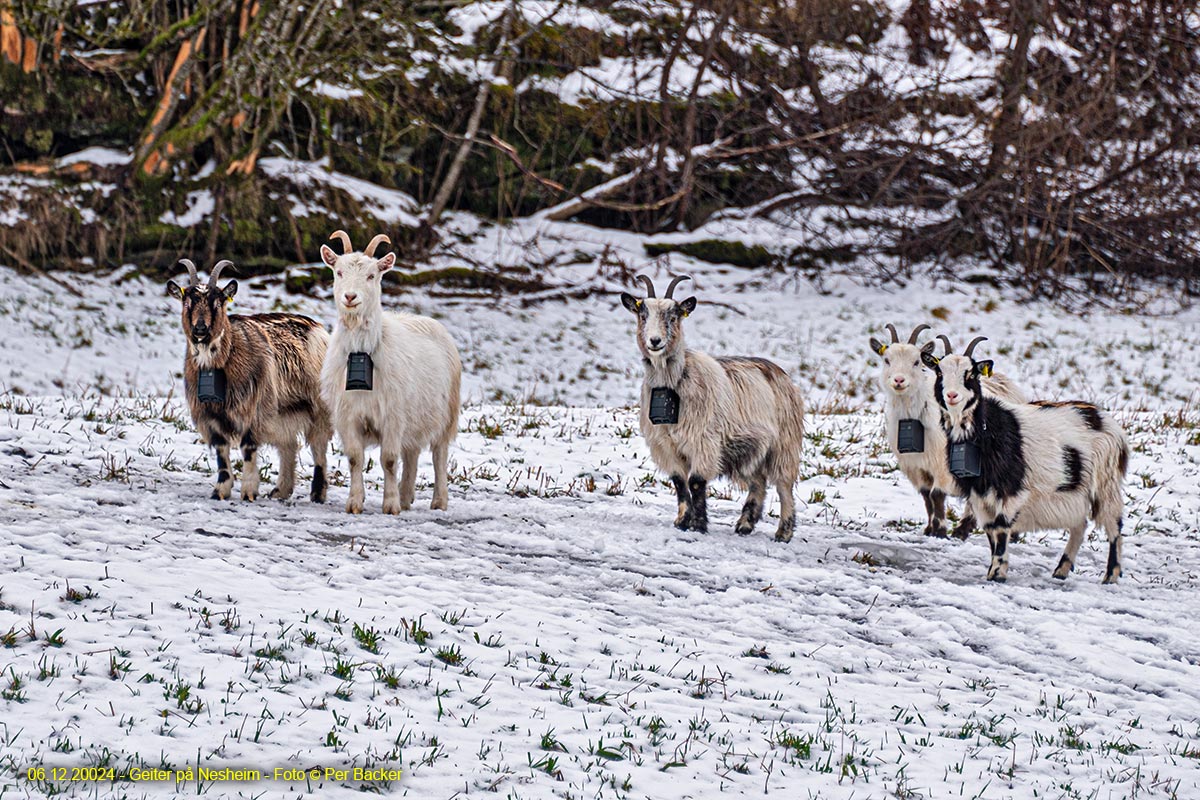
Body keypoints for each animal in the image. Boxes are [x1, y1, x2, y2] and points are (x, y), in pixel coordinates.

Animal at [166, 260, 331, 503]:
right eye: (187, 302)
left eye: (218, 302)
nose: (200, 329)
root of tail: (318, 327)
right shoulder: (209, 415)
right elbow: (221, 451)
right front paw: (221, 490)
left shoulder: (254, 409)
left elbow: (248, 447)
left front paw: (249, 491)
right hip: (285, 409)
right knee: (289, 444)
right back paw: (281, 490)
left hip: (318, 406)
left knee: (319, 445)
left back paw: (317, 493)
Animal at [319, 230, 458, 520]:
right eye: (338, 271)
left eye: (372, 275)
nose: (350, 297)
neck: (362, 352)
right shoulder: (348, 416)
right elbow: (355, 458)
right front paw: (355, 502)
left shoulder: (392, 416)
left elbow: (389, 460)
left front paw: (391, 505)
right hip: (414, 416)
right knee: (413, 452)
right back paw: (406, 497)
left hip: (445, 414)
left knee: (439, 454)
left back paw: (438, 501)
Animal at [619, 275, 806, 544]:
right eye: (642, 314)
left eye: (673, 316)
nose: (655, 341)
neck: (674, 384)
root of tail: (783, 374)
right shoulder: (665, 445)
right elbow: (679, 482)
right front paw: (682, 521)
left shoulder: (703, 441)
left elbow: (696, 482)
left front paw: (698, 525)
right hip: (749, 449)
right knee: (758, 482)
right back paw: (745, 524)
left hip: (783, 444)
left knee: (784, 485)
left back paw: (784, 532)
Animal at [868, 323, 1027, 537]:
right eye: (887, 360)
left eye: (916, 362)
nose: (899, 380)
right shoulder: (916, 467)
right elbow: (926, 496)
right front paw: (929, 529)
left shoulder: (942, 465)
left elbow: (936, 494)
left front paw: (940, 530)